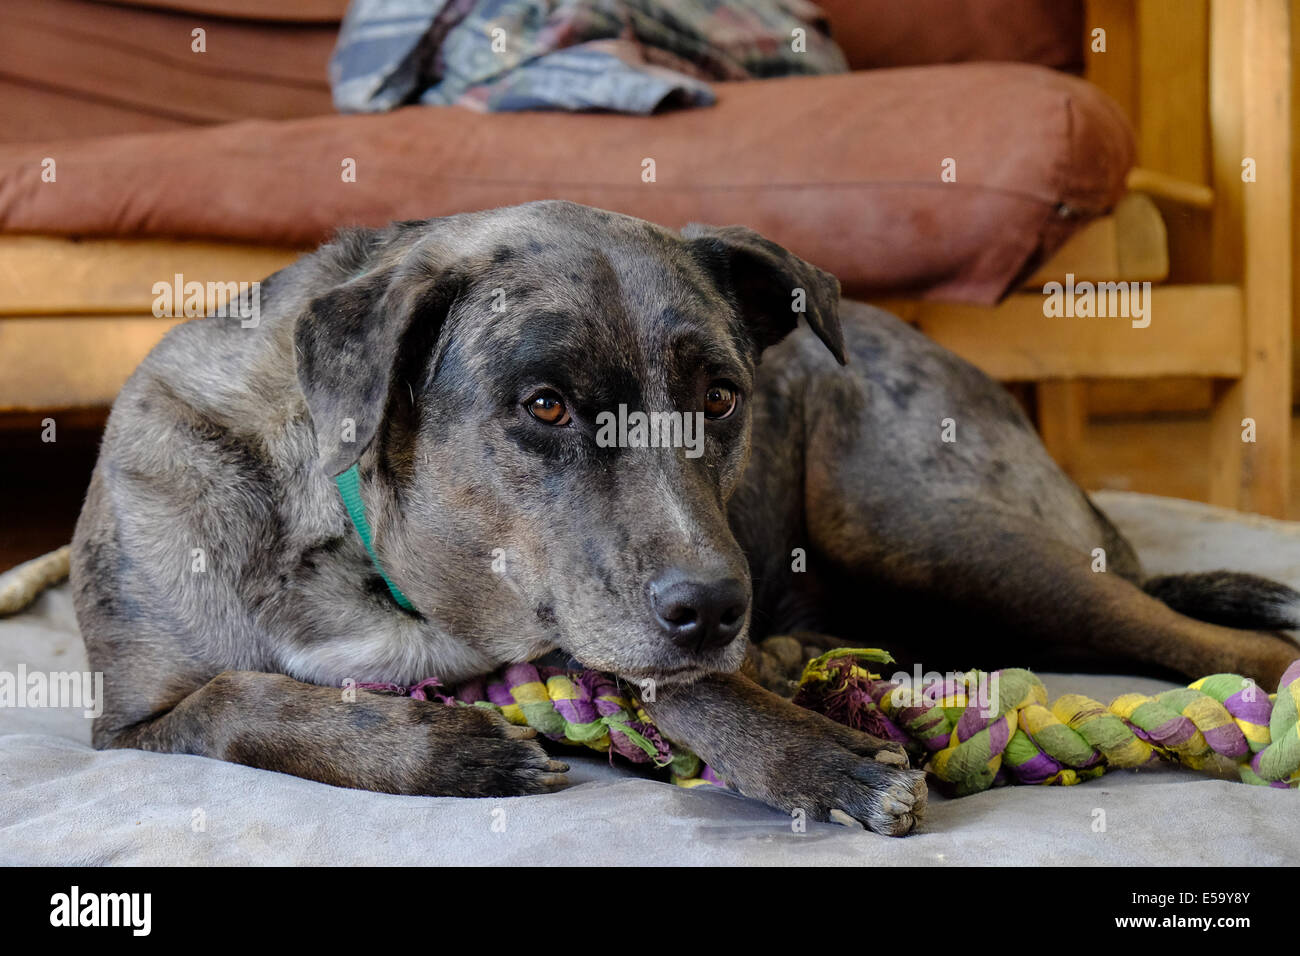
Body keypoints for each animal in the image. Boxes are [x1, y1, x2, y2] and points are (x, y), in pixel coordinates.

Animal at [73, 201, 1300, 837]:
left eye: (720, 397)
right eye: (545, 404)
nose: (720, 610)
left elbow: (675, 679)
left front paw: (806, 748)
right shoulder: (131, 718)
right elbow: (240, 705)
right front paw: (451, 750)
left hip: (938, 535)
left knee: (1195, 635)